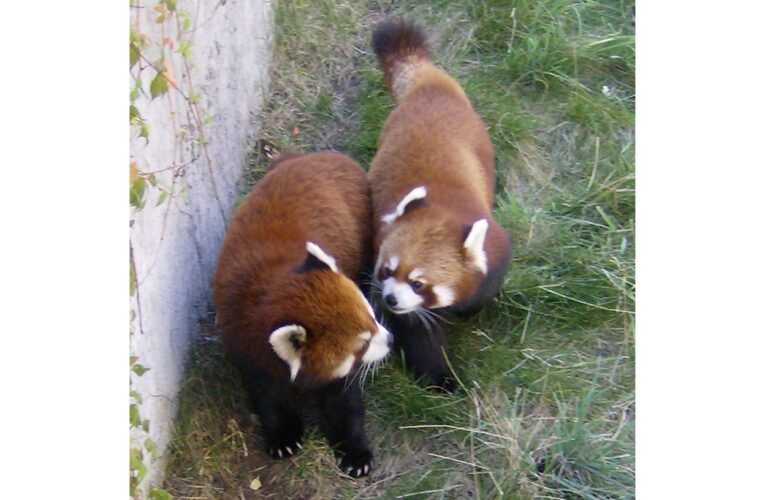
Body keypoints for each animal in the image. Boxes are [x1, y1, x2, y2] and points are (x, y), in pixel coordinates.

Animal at [215, 148, 394, 476]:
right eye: (363, 343)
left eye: (373, 317)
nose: (390, 340)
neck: (269, 288)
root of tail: (317, 156)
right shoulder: (245, 346)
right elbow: (268, 396)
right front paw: (283, 436)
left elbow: (343, 401)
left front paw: (355, 452)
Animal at [368, 20, 510, 390]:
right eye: (386, 270)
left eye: (419, 283)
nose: (390, 298)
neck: (443, 210)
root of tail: (429, 89)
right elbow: (421, 337)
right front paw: (442, 379)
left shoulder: (496, 247)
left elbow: (486, 286)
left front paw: (471, 309)